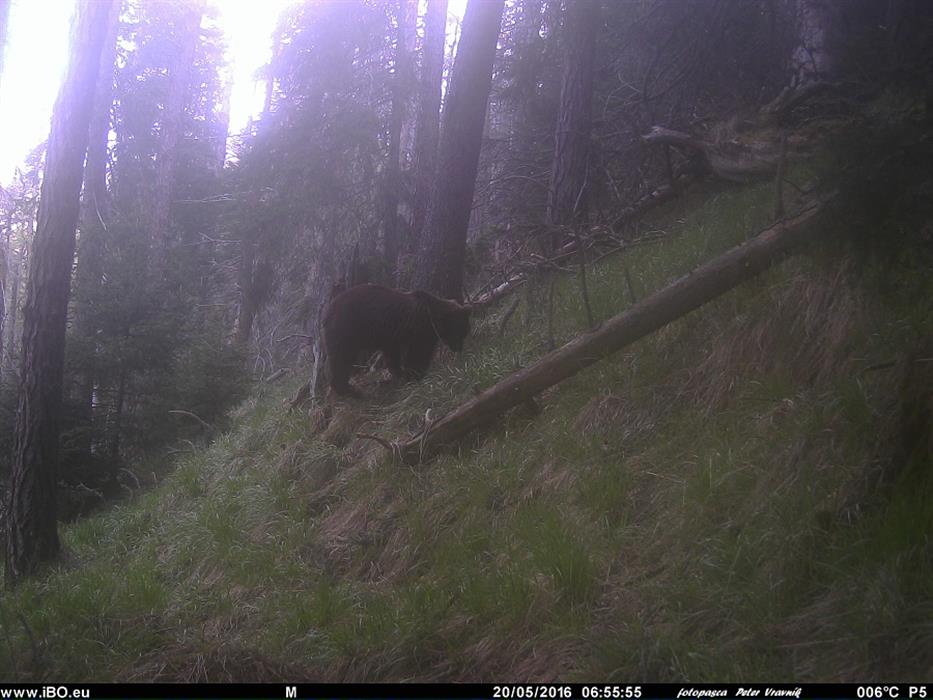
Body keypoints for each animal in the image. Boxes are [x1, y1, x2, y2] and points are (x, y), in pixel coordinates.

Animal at [322, 283, 471, 397]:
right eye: (460, 331)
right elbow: (418, 354)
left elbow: (393, 356)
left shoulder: (391, 337)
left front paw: (400, 374)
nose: (458, 348)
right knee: (341, 359)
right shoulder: (420, 330)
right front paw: (415, 375)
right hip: (345, 330)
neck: (433, 317)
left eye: (465, 332)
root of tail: (327, 313)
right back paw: (349, 390)